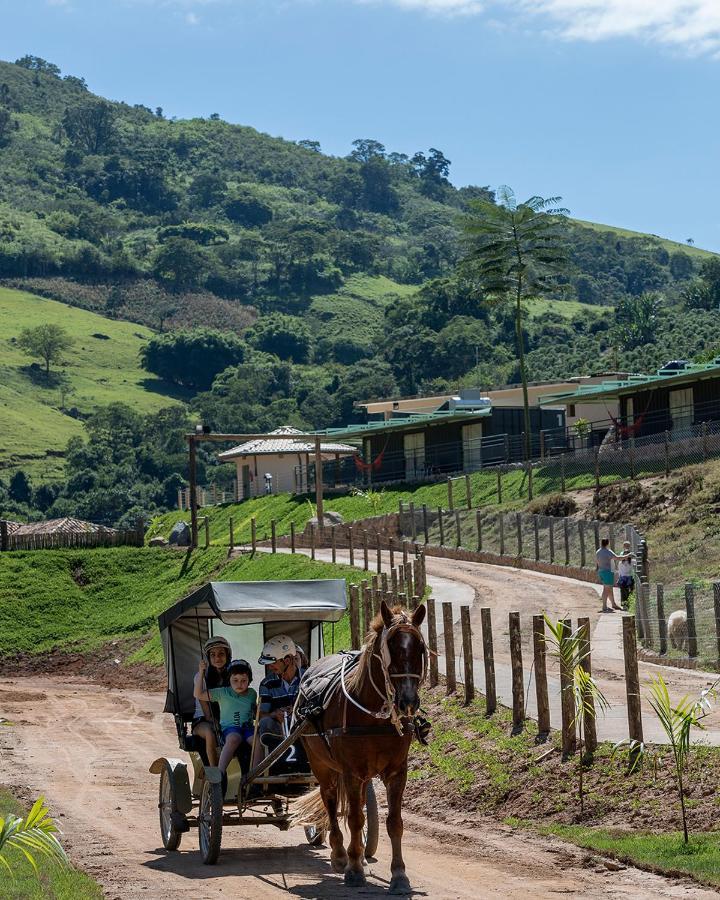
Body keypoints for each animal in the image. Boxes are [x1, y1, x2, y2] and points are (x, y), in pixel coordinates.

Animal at [294, 600, 428, 896]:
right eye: (391, 646)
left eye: (420, 648)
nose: (408, 701)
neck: (373, 716)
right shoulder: (351, 772)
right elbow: (355, 819)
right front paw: (354, 868)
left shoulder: (397, 773)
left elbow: (394, 823)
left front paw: (399, 875)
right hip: (322, 765)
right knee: (330, 801)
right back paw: (339, 854)